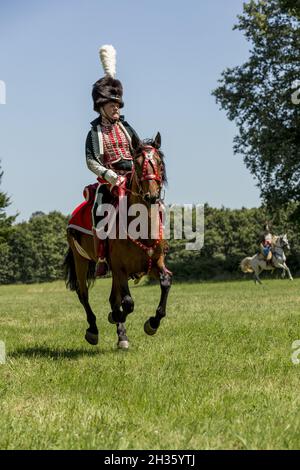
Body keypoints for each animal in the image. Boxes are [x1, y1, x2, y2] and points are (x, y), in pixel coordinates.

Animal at [63, 132, 171, 348]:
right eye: (138, 164)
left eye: (159, 162)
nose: (152, 196)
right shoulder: (120, 268)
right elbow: (127, 303)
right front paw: (116, 318)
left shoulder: (154, 263)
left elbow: (165, 282)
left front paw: (152, 324)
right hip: (81, 260)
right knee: (83, 293)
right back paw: (93, 330)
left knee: (113, 298)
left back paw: (121, 335)